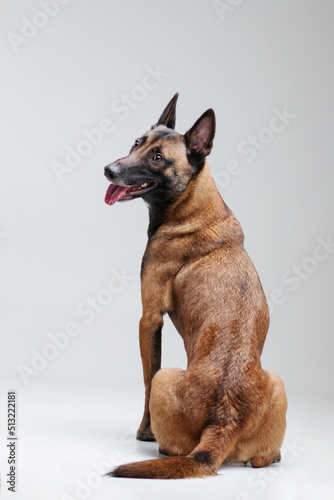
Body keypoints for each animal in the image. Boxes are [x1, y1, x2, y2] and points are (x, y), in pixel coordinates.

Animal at [104, 92, 288, 478]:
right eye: (137, 143)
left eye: (158, 158)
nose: (109, 170)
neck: (191, 204)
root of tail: (224, 419)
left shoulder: (149, 318)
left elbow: (146, 377)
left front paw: (144, 431)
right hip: (278, 381)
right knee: (265, 459)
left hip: (167, 378)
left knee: (159, 398)